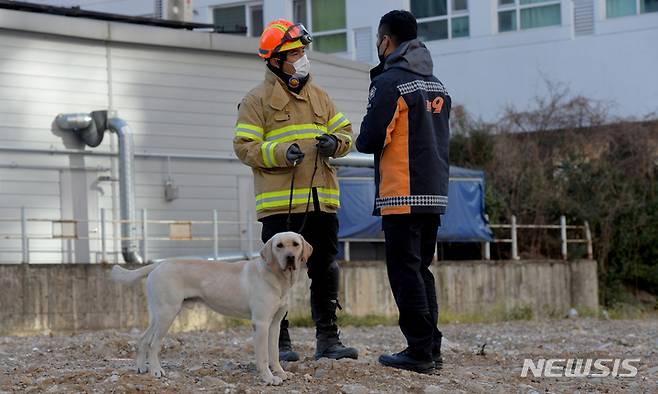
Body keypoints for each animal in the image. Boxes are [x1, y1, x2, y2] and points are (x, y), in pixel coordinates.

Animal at [109, 231, 310, 384]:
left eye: (295, 244)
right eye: (279, 246)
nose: (290, 258)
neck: (277, 277)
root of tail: (158, 264)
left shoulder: (275, 324)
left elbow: (274, 353)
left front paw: (281, 373)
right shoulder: (260, 324)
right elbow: (263, 356)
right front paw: (268, 378)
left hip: (158, 315)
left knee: (143, 339)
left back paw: (141, 367)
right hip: (167, 314)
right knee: (153, 344)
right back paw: (156, 371)